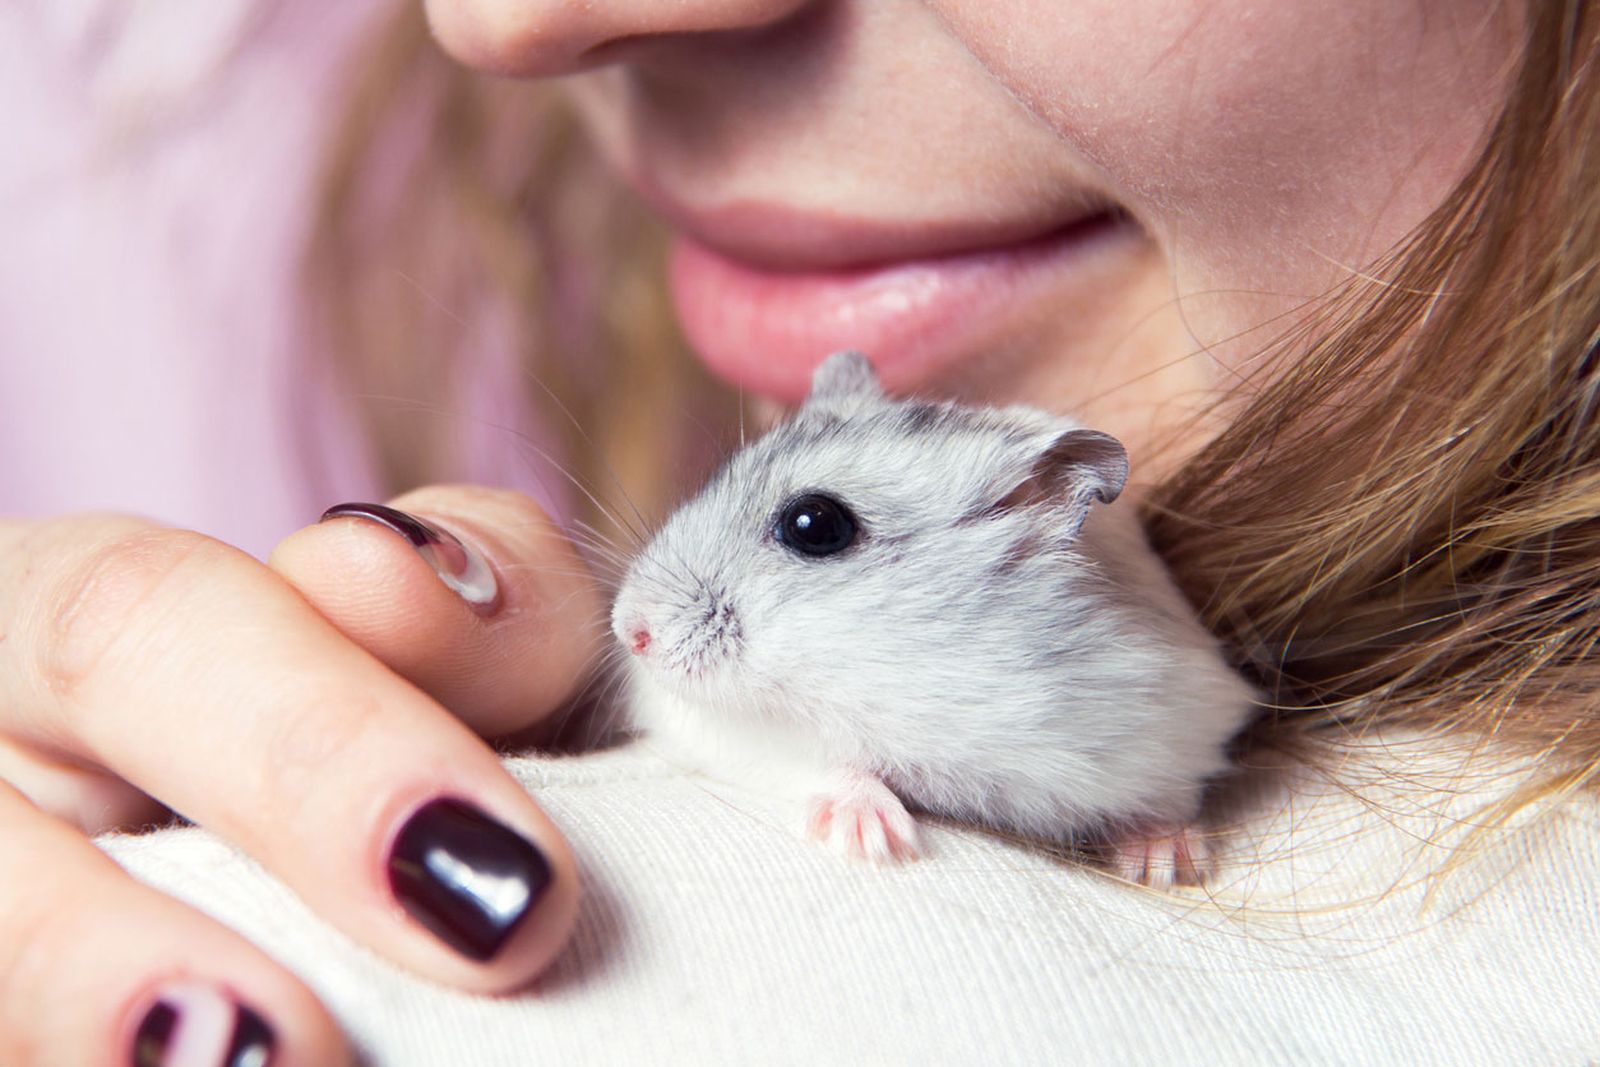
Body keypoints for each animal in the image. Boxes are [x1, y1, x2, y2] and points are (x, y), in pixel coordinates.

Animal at [611, 351, 1256, 886]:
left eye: (814, 525)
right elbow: (809, 759)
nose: (630, 632)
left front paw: (1170, 865)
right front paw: (875, 840)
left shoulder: (1173, 718)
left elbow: (1169, 794)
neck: (926, 678)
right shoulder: (707, 725)